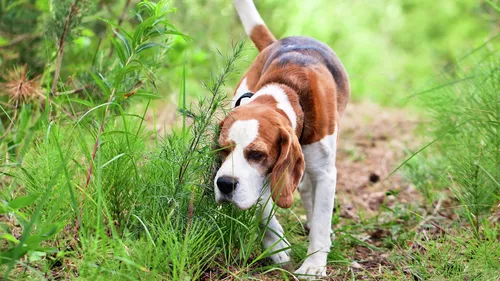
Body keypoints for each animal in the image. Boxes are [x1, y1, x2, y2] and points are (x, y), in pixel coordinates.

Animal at [215, 0, 352, 276]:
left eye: (257, 154)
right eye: (222, 150)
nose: (223, 184)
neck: (286, 90)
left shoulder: (325, 173)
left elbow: (321, 220)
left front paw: (313, 266)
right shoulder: (261, 178)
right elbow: (263, 208)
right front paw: (276, 245)